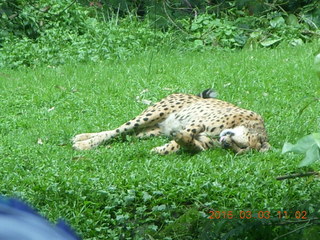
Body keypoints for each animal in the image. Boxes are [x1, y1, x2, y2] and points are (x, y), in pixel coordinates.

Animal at [73, 89, 270, 155]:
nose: (226, 145)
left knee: (125, 136)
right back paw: (83, 143)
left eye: (240, 151)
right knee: (116, 130)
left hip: (150, 131)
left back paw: (81, 138)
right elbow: (184, 136)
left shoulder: (204, 141)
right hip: (151, 114)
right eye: (242, 147)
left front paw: (161, 149)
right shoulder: (198, 122)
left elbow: (183, 144)